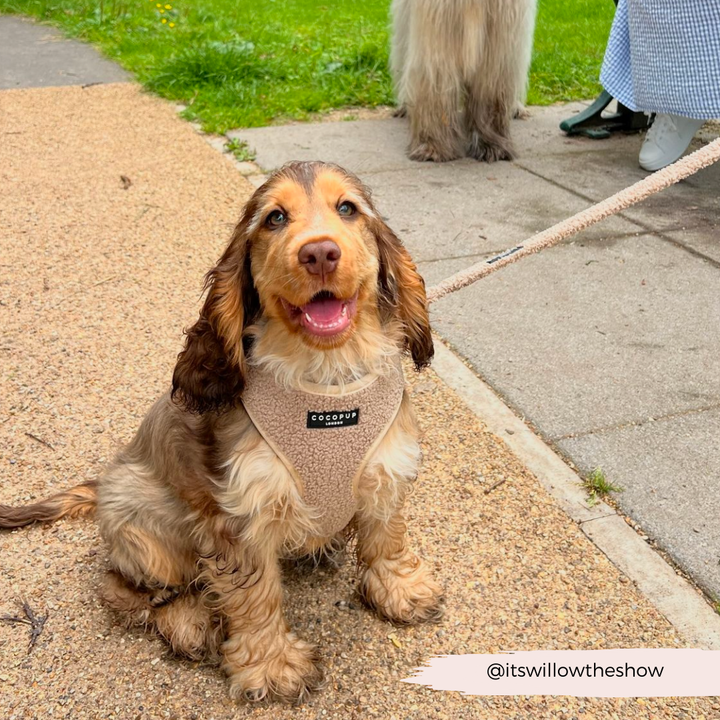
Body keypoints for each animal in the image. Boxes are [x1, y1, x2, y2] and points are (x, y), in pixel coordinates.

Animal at [0, 162, 444, 704]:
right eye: (275, 218)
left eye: (347, 209)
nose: (319, 252)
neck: (326, 383)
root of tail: (102, 485)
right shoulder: (240, 514)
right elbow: (255, 595)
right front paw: (272, 667)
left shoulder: (385, 470)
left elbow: (387, 538)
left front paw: (400, 590)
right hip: (145, 528)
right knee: (127, 589)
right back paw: (189, 624)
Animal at [390, 0, 536, 162]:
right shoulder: (439, 22)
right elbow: (435, 84)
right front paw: (433, 145)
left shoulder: (500, 31)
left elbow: (490, 93)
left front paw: (491, 143)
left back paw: (516, 107)